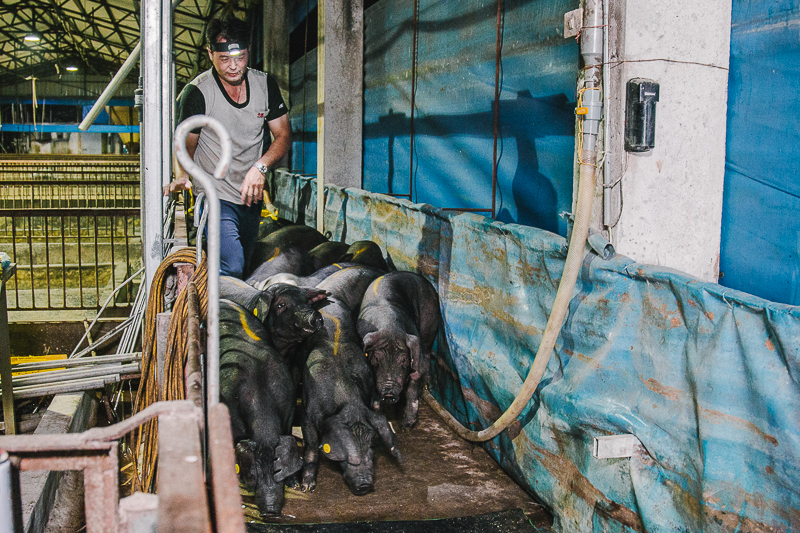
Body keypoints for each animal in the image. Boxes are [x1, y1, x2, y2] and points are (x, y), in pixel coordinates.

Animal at [358, 272, 440, 426]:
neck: (388, 327)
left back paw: (428, 387)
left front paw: (407, 425)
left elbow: (413, 385)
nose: (389, 394)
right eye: (376, 359)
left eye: (404, 360)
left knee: (426, 354)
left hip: (430, 324)